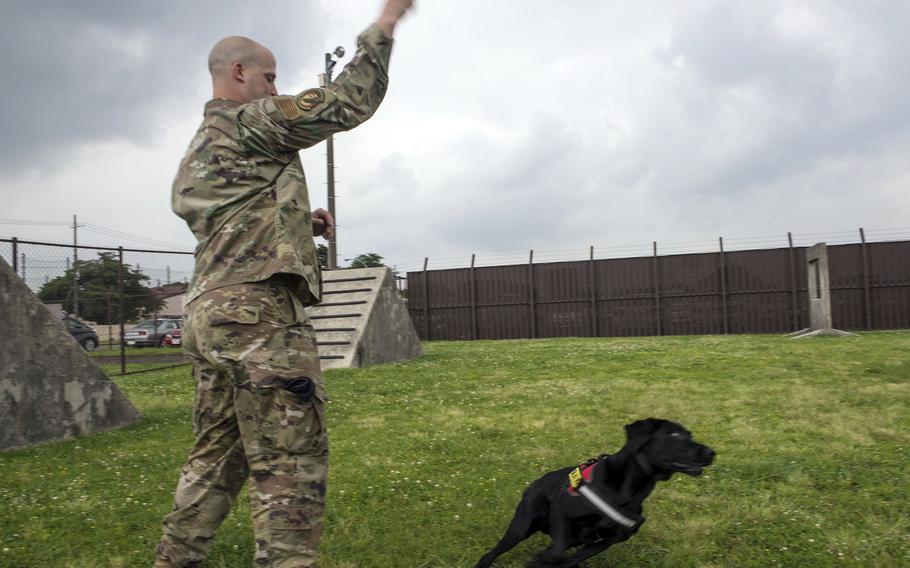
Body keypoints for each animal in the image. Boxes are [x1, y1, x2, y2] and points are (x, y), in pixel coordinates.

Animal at [474, 418, 716, 568]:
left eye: (690, 435)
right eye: (675, 434)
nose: (712, 452)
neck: (629, 489)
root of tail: (534, 482)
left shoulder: (609, 539)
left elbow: (570, 559)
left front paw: (545, 562)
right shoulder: (562, 511)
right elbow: (557, 551)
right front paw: (543, 561)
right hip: (522, 527)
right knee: (491, 553)